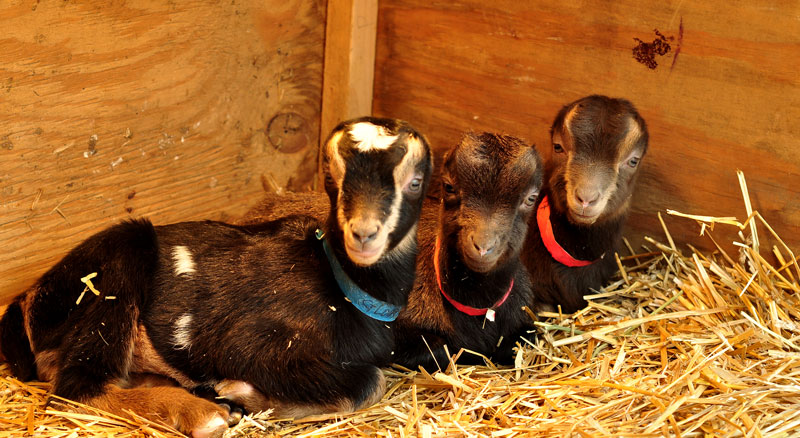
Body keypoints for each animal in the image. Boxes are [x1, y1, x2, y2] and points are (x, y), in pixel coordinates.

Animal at [0, 117, 433, 437]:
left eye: (415, 182)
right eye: (333, 179)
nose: (364, 233)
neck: (339, 289)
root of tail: (27, 299)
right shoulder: (246, 343)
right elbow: (371, 381)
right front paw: (247, 393)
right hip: (118, 263)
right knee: (78, 386)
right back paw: (199, 412)